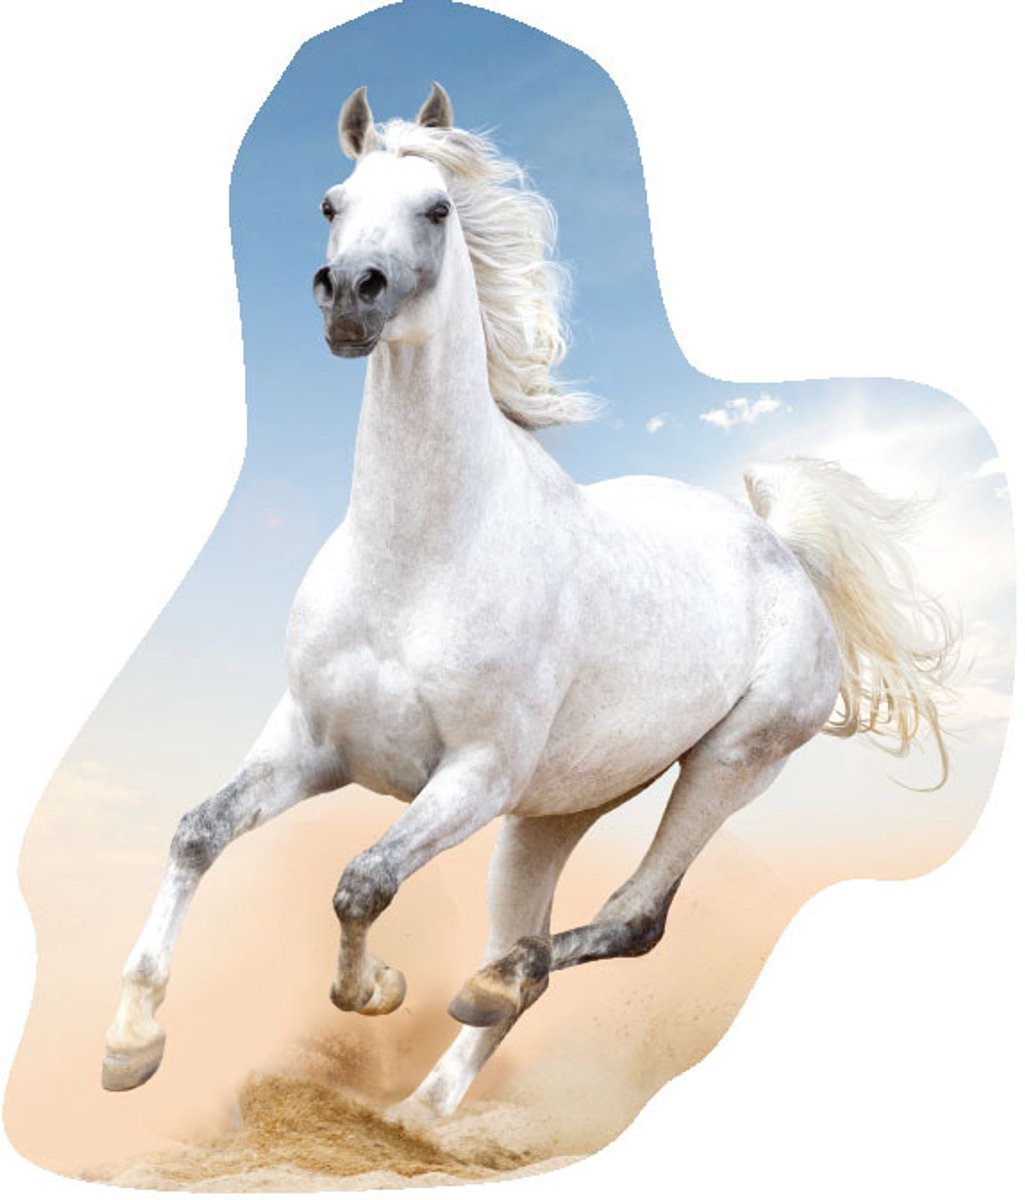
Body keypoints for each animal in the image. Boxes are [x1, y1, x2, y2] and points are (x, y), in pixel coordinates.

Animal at [101, 83, 953, 1120]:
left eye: (436, 208)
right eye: (331, 201)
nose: (349, 296)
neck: (417, 561)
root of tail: (783, 553)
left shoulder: (472, 775)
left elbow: (360, 883)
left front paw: (374, 989)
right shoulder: (313, 742)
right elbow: (198, 833)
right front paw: (131, 1044)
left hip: (724, 766)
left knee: (626, 922)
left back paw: (486, 992)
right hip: (550, 815)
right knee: (532, 954)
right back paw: (425, 1110)